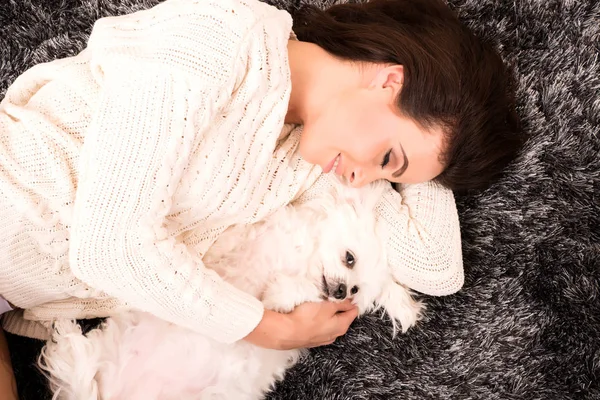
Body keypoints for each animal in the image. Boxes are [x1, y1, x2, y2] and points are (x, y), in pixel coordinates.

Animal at [39, 180, 424, 400]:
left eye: (357, 291)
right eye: (349, 258)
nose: (342, 291)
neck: (301, 260)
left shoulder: (312, 304)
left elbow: (294, 294)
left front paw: (281, 291)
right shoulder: (252, 236)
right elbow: (226, 245)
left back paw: (68, 340)